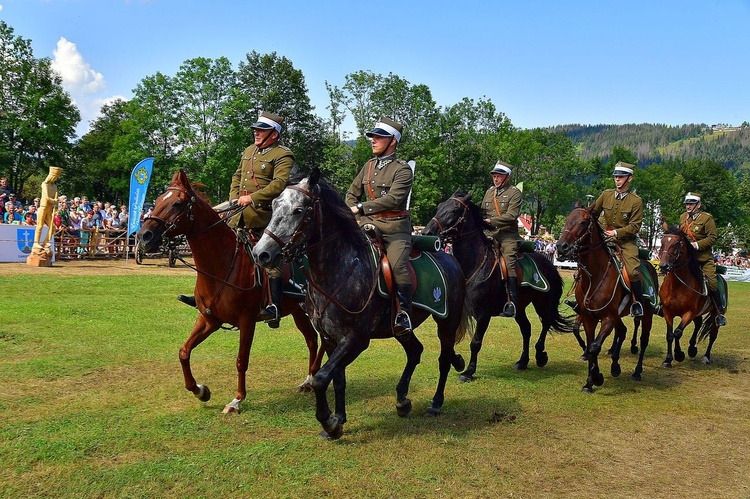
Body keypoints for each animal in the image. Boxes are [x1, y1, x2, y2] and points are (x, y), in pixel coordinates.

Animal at [138, 171, 320, 414]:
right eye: (157, 201)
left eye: (177, 203)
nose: (143, 236)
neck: (221, 265)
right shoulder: (209, 319)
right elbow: (184, 352)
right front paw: (200, 391)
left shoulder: (247, 321)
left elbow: (241, 360)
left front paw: (237, 400)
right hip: (298, 311)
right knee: (312, 339)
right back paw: (309, 380)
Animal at [256, 169, 472, 442]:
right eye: (274, 205)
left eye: (298, 210)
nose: (261, 253)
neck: (339, 270)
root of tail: (450, 257)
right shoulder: (330, 339)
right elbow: (337, 378)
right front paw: (339, 418)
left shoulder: (356, 340)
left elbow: (321, 378)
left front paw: (329, 422)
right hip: (399, 328)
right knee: (415, 351)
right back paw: (402, 400)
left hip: (447, 322)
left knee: (444, 358)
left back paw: (435, 402)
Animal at [560, 205, 656, 392]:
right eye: (567, 219)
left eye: (583, 222)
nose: (561, 247)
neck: (595, 276)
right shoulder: (588, 317)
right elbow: (590, 344)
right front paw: (589, 382)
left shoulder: (608, 317)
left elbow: (594, 347)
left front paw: (597, 378)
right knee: (622, 331)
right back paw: (615, 365)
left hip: (646, 314)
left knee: (643, 339)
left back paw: (637, 372)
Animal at [656, 228, 728, 368]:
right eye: (662, 242)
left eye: (676, 243)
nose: (663, 266)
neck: (676, 285)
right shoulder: (667, 312)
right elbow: (670, 335)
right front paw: (668, 359)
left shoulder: (688, 313)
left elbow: (677, 332)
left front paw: (679, 355)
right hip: (697, 313)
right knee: (698, 323)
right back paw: (692, 348)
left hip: (715, 314)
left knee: (712, 335)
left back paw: (706, 357)